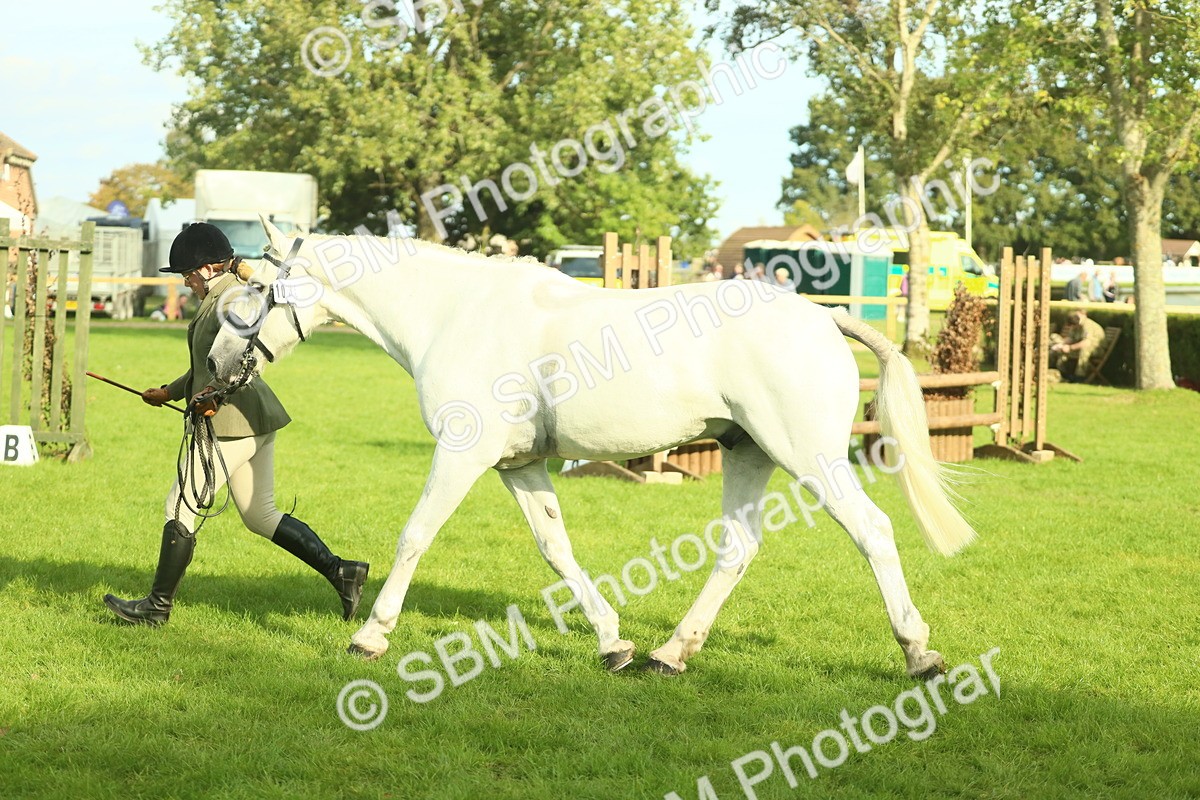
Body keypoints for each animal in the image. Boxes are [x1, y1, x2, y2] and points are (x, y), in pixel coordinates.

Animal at [204, 218, 976, 678]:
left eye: (256, 289)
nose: (212, 365)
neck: (454, 315)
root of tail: (824, 317)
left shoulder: (462, 456)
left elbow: (415, 535)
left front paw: (370, 636)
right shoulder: (519, 466)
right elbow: (557, 549)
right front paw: (613, 641)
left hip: (806, 455)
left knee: (873, 532)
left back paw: (918, 652)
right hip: (747, 452)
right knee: (737, 550)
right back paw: (670, 653)